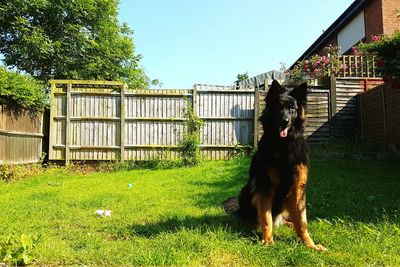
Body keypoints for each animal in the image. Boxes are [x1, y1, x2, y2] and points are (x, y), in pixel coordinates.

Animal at [223, 80, 326, 252]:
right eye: (279, 107)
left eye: (292, 109)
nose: (285, 121)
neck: (283, 146)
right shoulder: (265, 187)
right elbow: (266, 218)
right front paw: (268, 241)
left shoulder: (298, 188)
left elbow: (302, 222)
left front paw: (310, 244)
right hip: (248, 191)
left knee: (290, 220)